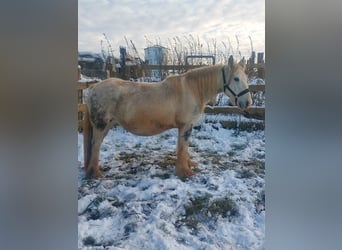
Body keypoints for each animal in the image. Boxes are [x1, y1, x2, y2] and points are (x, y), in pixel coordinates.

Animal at [83, 56, 252, 178]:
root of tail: (93, 87)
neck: (192, 90)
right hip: (101, 126)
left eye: (247, 78)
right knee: (96, 145)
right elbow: (182, 148)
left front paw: (189, 165)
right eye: (236, 79)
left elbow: (184, 148)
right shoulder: (185, 126)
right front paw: (184, 172)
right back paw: (96, 173)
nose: (247, 103)